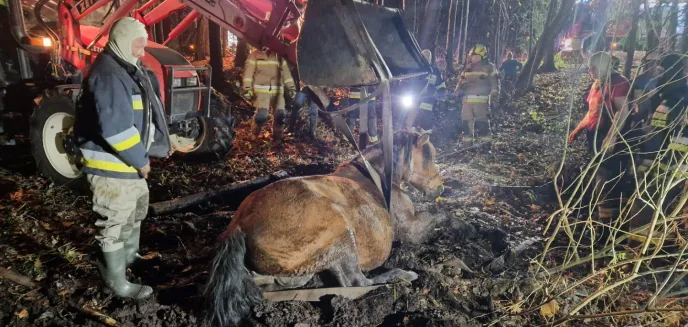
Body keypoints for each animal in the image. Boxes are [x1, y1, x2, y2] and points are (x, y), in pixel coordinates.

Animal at [204, 131, 444, 327]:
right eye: (430, 156)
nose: (441, 187)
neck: (376, 173)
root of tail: (239, 224)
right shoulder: (412, 228)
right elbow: (441, 216)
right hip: (341, 233)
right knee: (356, 282)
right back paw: (402, 275)